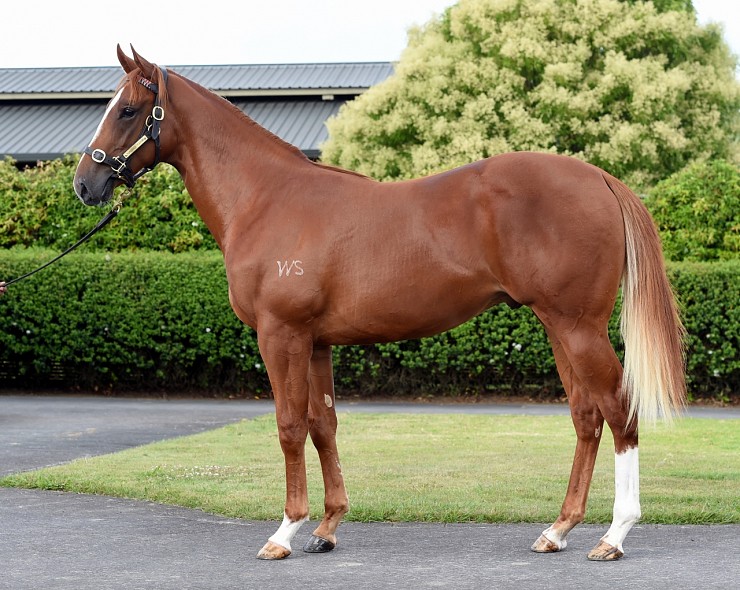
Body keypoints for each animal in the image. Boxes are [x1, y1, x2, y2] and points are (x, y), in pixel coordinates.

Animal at [72, 46, 684, 564]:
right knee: (587, 417)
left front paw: (284, 532)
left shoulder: (281, 335)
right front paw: (326, 528)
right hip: (559, 327)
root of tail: (600, 177)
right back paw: (557, 530)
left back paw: (613, 536)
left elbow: (289, 425)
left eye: (128, 110)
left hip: (578, 327)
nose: (85, 183)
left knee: (619, 410)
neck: (266, 197)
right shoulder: (316, 343)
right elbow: (323, 425)